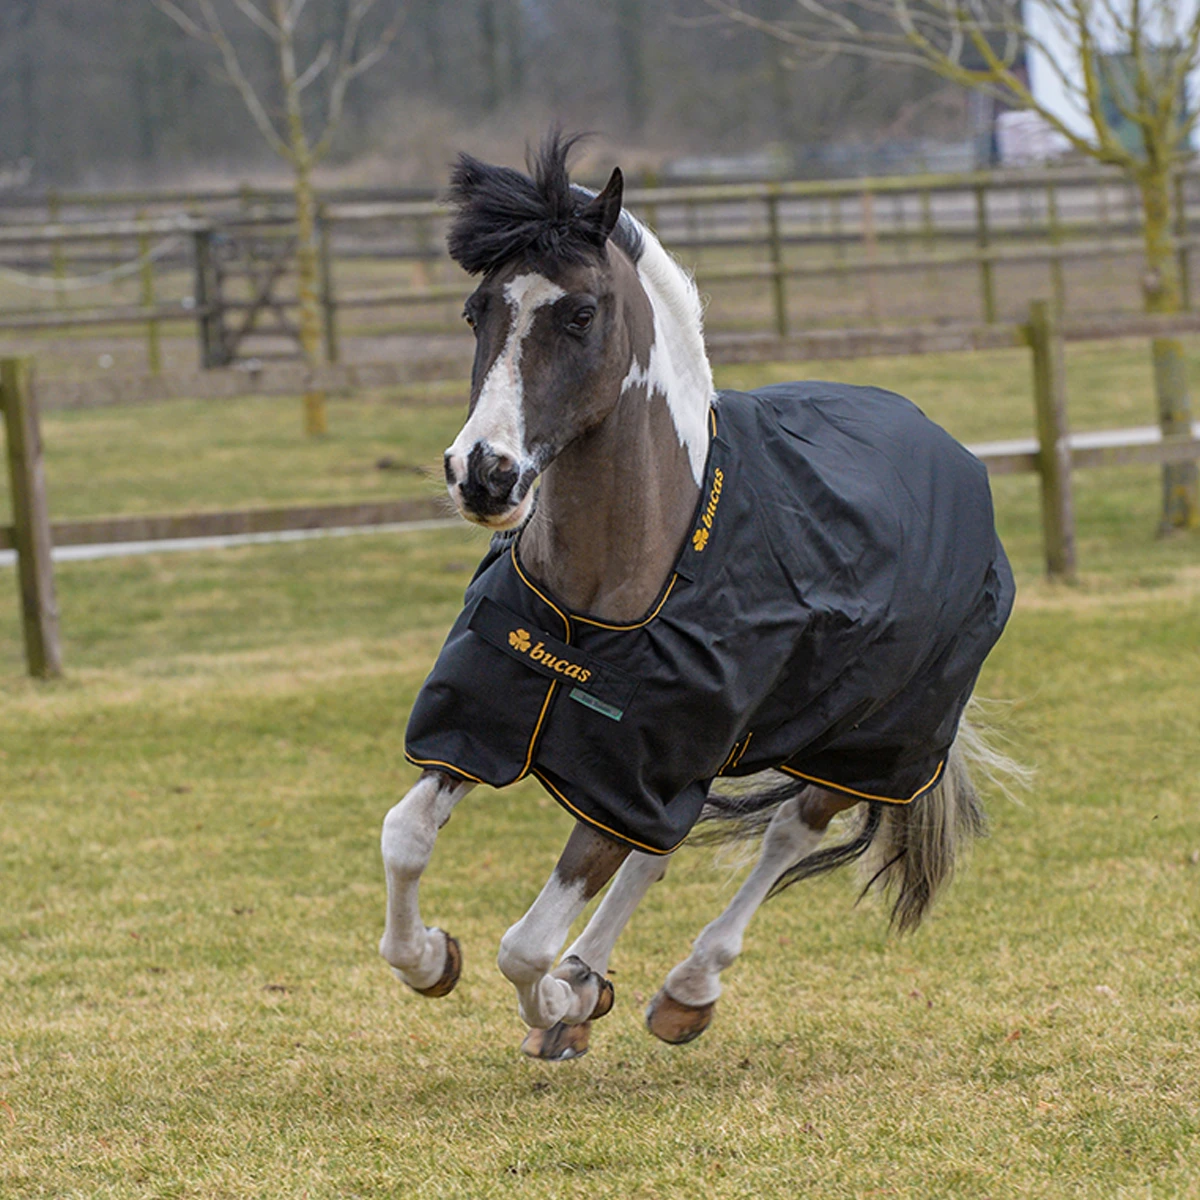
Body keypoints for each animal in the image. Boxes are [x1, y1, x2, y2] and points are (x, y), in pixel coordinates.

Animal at [379, 134, 1018, 1061]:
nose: (484, 475)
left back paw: (684, 989)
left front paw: (556, 1006)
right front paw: (435, 959)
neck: (597, 609)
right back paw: (593, 979)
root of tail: (949, 449)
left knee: (788, 834)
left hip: (868, 742)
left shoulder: (628, 777)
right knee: (660, 852)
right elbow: (406, 838)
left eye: (580, 315)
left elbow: (524, 945)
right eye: (477, 311)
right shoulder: (494, 730)